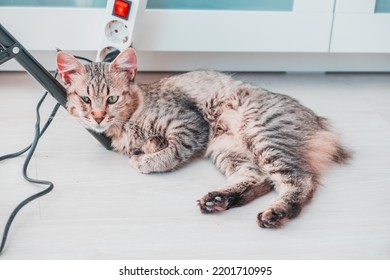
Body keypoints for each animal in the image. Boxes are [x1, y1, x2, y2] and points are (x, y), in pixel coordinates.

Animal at [56, 48, 348, 228]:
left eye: (112, 99)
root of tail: (318, 121)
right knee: (259, 178)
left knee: (299, 181)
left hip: (261, 135)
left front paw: (144, 160)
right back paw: (218, 200)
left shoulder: (190, 126)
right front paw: (147, 147)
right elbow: (154, 145)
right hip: (229, 151)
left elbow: (168, 154)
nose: (97, 117)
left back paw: (275, 213)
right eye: (85, 99)